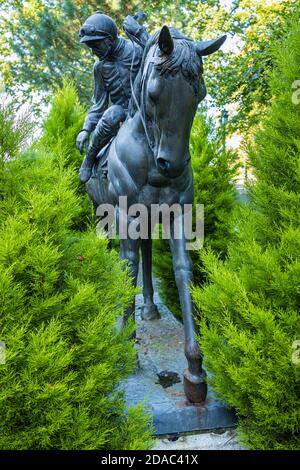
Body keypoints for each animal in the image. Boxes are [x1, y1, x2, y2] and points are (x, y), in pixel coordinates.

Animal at [85, 25, 226, 402]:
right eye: (152, 93)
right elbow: (128, 266)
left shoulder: (178, 216)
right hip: (103, 213)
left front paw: (195, 370)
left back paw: (149, 307)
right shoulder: (125, 217)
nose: (172, 165)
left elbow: (181, 270)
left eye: (199, 93)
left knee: (147, 254)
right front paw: (125, 346)